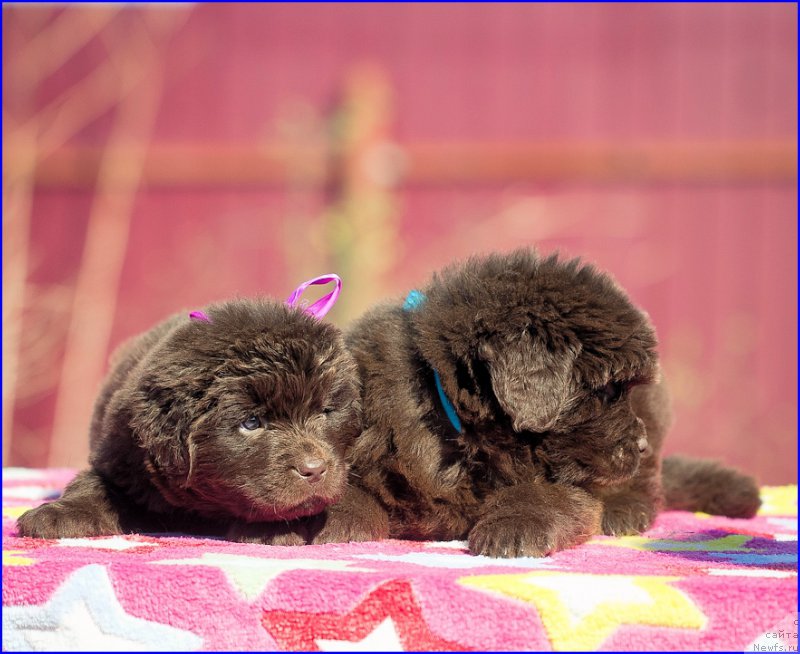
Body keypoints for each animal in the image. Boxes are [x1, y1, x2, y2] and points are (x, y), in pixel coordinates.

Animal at [17, 292, 360, 544]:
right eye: (251, 423)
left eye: (325, 411)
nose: (314, 470)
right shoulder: (120, 457)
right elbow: (92, 483)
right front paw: (58, 513)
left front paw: (273, 528)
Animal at [314, 251, 764, 560]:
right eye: (605, 392)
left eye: (623, 391)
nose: (639, 445)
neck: (458, 430)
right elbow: (348, 486)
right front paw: (327, 522)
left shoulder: (569, 482)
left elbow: (540, 494)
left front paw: (512, 528)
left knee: (650, 483)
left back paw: (625, 509)